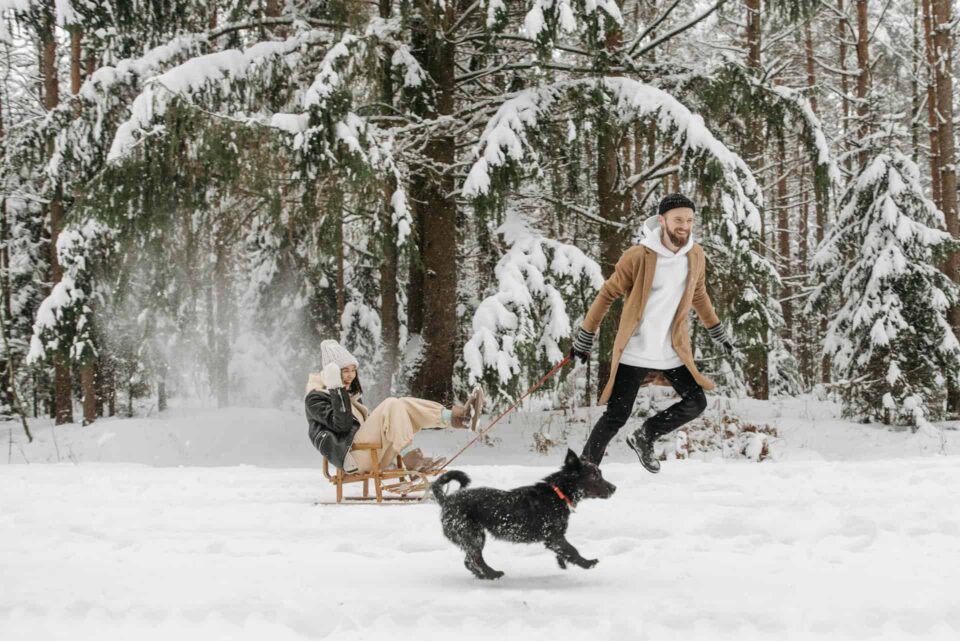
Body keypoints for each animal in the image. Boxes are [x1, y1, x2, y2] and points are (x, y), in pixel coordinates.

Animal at [434, 448, 620, 576]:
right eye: (595, 476)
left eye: (600, 473)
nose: (614, 488)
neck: (557, 493)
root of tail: (446, 500)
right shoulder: (554, 536)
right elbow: (572, 549)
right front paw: (587, 563)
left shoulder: (555, 538)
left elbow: (564, 551)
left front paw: (563, 563)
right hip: (472, 534)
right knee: (475, 559)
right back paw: (492, 574)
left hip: (473, 536)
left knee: (468, 561)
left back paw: (483, 576)